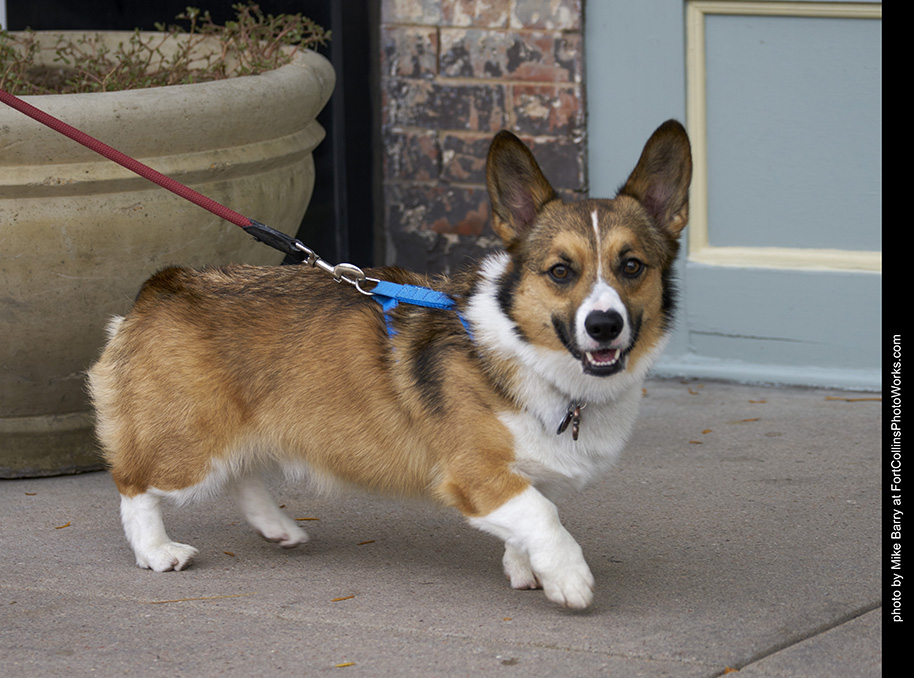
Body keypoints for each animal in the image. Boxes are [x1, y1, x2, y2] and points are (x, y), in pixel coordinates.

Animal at [87, 121, 692, 612]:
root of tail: (163, 287)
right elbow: (544, 516)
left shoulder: (519, 473)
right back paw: (158, 551)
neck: (532, 357)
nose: (605, 325)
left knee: (243, 472)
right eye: (561, 271)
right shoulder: (473, 472)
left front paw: (526, 569)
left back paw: (278, 528)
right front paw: (568, 579)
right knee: (134, 485)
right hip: (189, 447)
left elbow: (531, 514)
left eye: (631, 266)